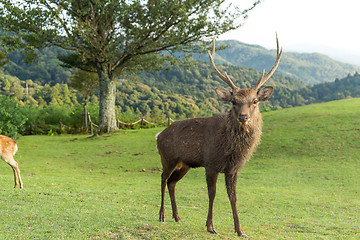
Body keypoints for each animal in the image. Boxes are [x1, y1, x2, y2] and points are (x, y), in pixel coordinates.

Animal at [156, 33, 282, 238]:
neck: (229, 150)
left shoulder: (233, 169)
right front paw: (210, 226)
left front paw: (240, 230)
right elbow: (212, 193)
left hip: (184, 164)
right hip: (168, 158)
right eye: (233, 101)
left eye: (255, 101)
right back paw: (162, 215)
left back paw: (177, 217)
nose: (243, 116)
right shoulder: (211, 163)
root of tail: (158, 135)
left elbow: (233, 197)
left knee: (172, 183)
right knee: (163, 179)